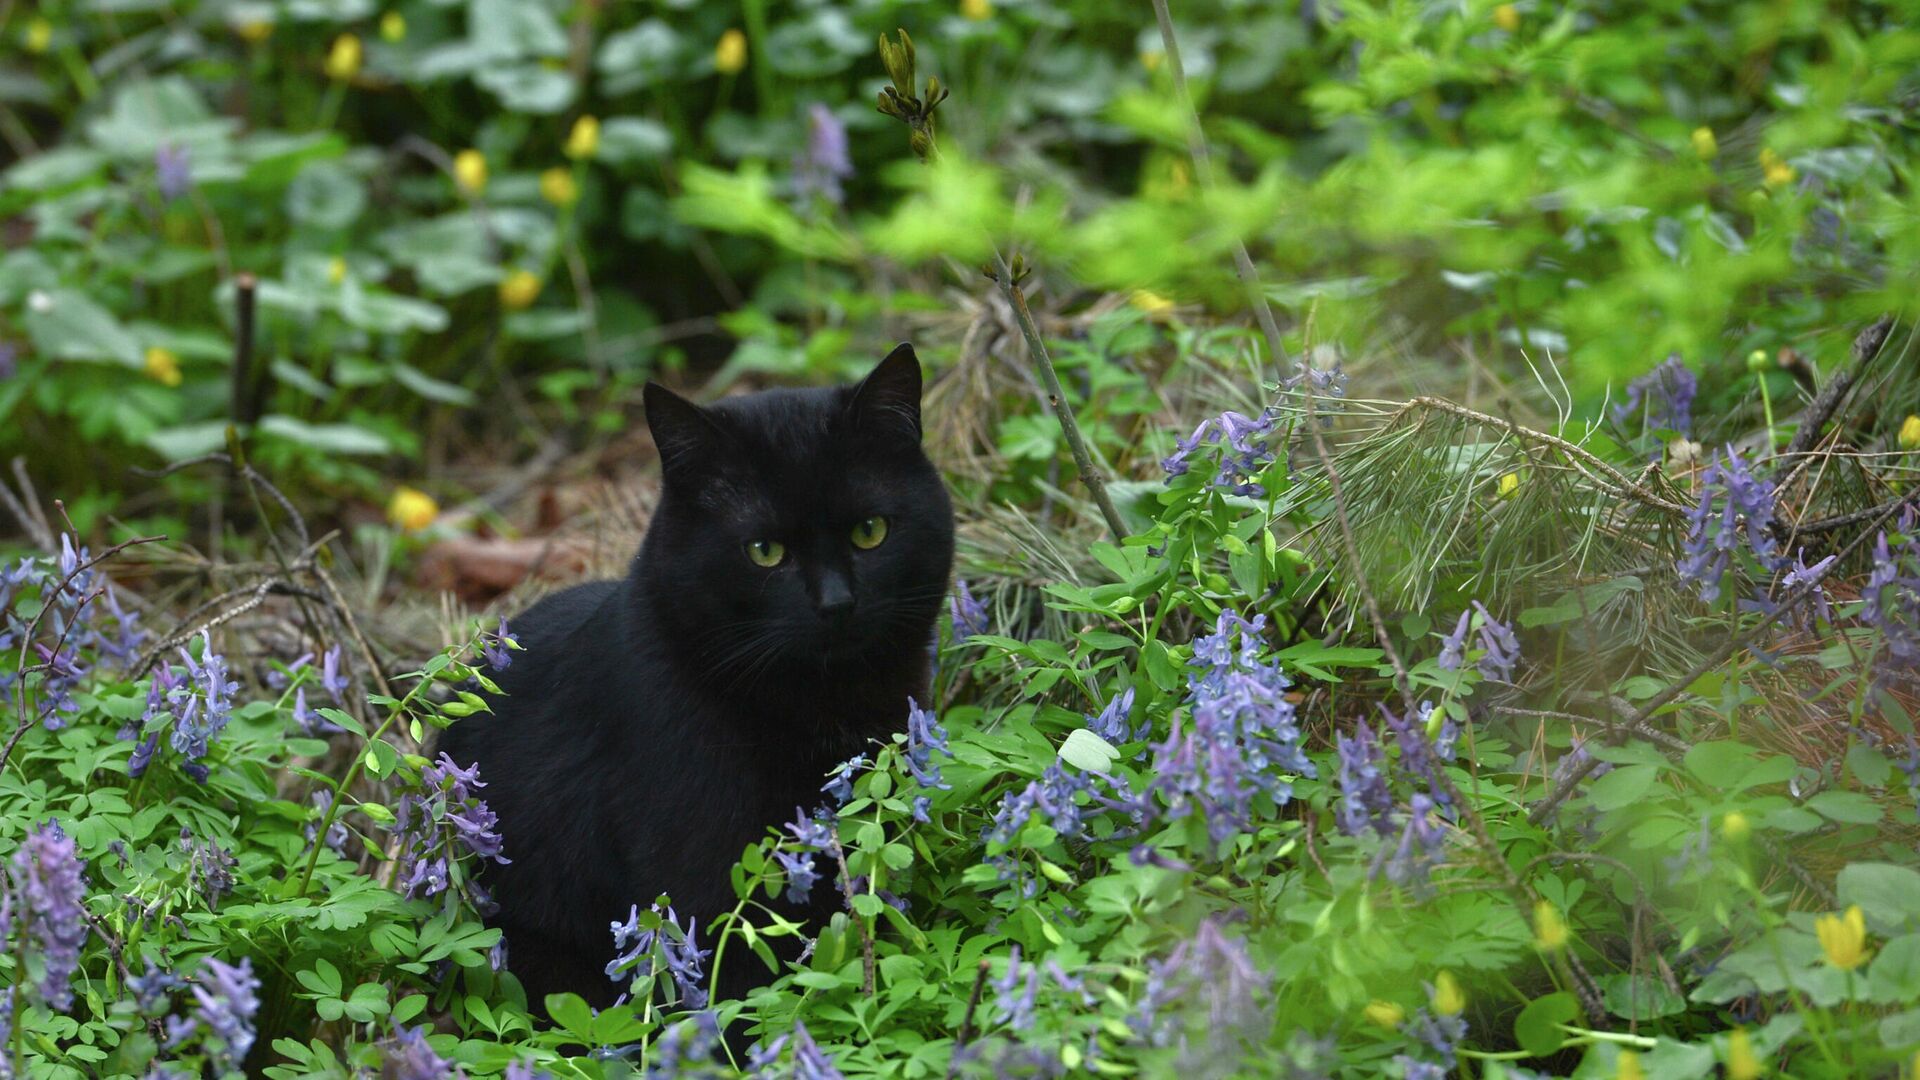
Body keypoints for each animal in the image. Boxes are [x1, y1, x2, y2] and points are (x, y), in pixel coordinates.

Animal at [432, 343, 948, 1006]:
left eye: (870, 531)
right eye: (763, 552)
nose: (836, 604)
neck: (816, 702)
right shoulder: (702, 868)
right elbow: (737, 985)